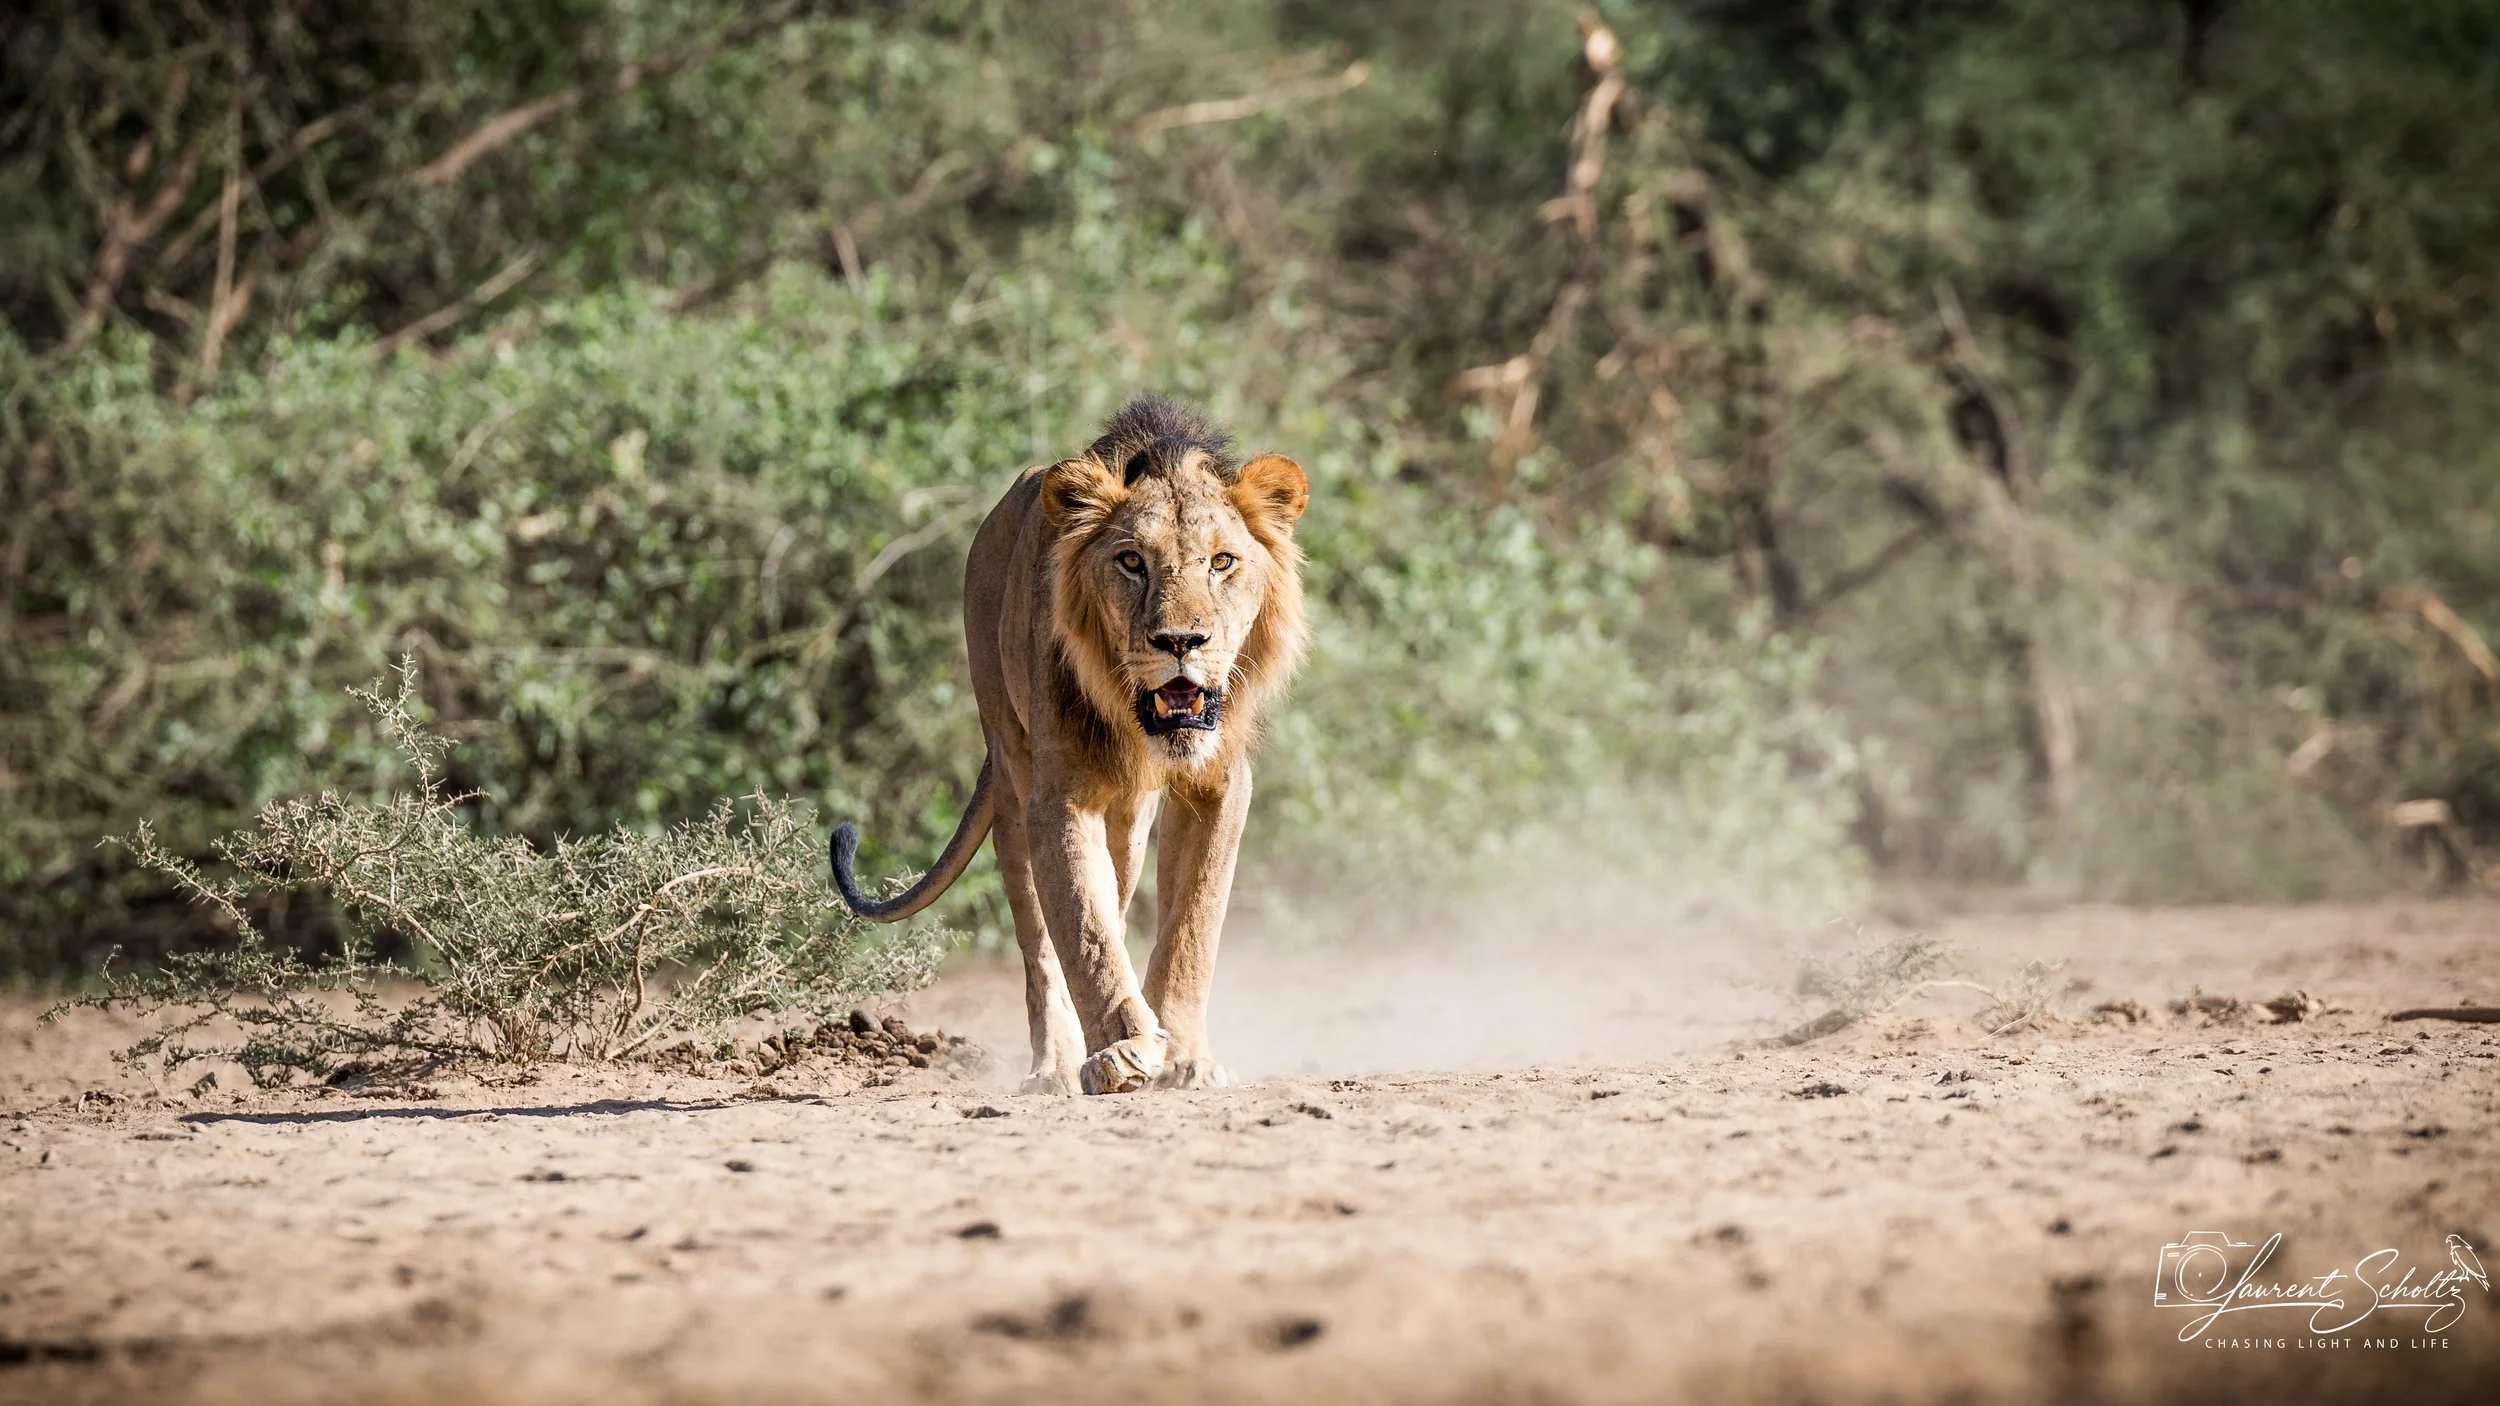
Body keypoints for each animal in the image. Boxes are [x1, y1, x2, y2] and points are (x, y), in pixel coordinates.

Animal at [831, 397, 1310, 1095]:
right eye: (1132, 562)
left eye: (1222, 562)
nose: (1181, 642)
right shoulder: (1060, 796)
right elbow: (1084, 928)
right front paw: (1122, 1053)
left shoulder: (1219, 784)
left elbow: (1192, 925)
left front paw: (1186, 1058)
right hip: (1011, 768)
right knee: (1041, 945)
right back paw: (1054, 1067)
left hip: (1127, 821)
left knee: (1120, 891)